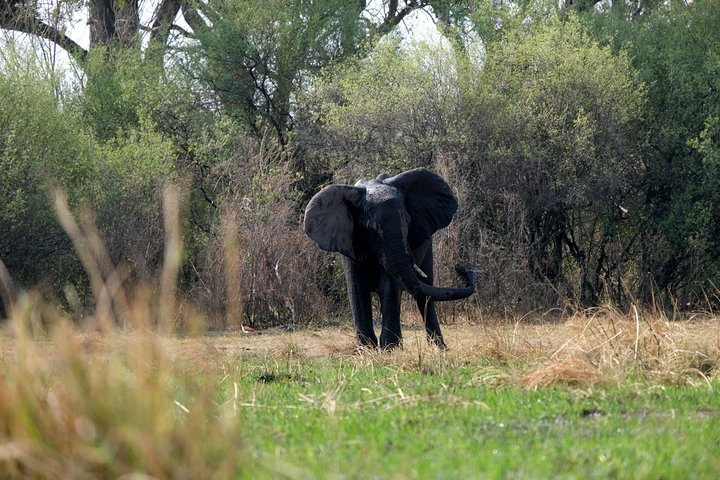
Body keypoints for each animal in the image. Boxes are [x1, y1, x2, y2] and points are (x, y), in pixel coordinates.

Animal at [302, 168, 478, 348]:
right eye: (371, 229)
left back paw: (439, 348)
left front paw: (390, 348)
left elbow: (390, 285)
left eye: (407, 221)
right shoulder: (349, 240)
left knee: (425, 292)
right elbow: (356, 288)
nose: (462, 268)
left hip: (428, 246)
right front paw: (366, 349)